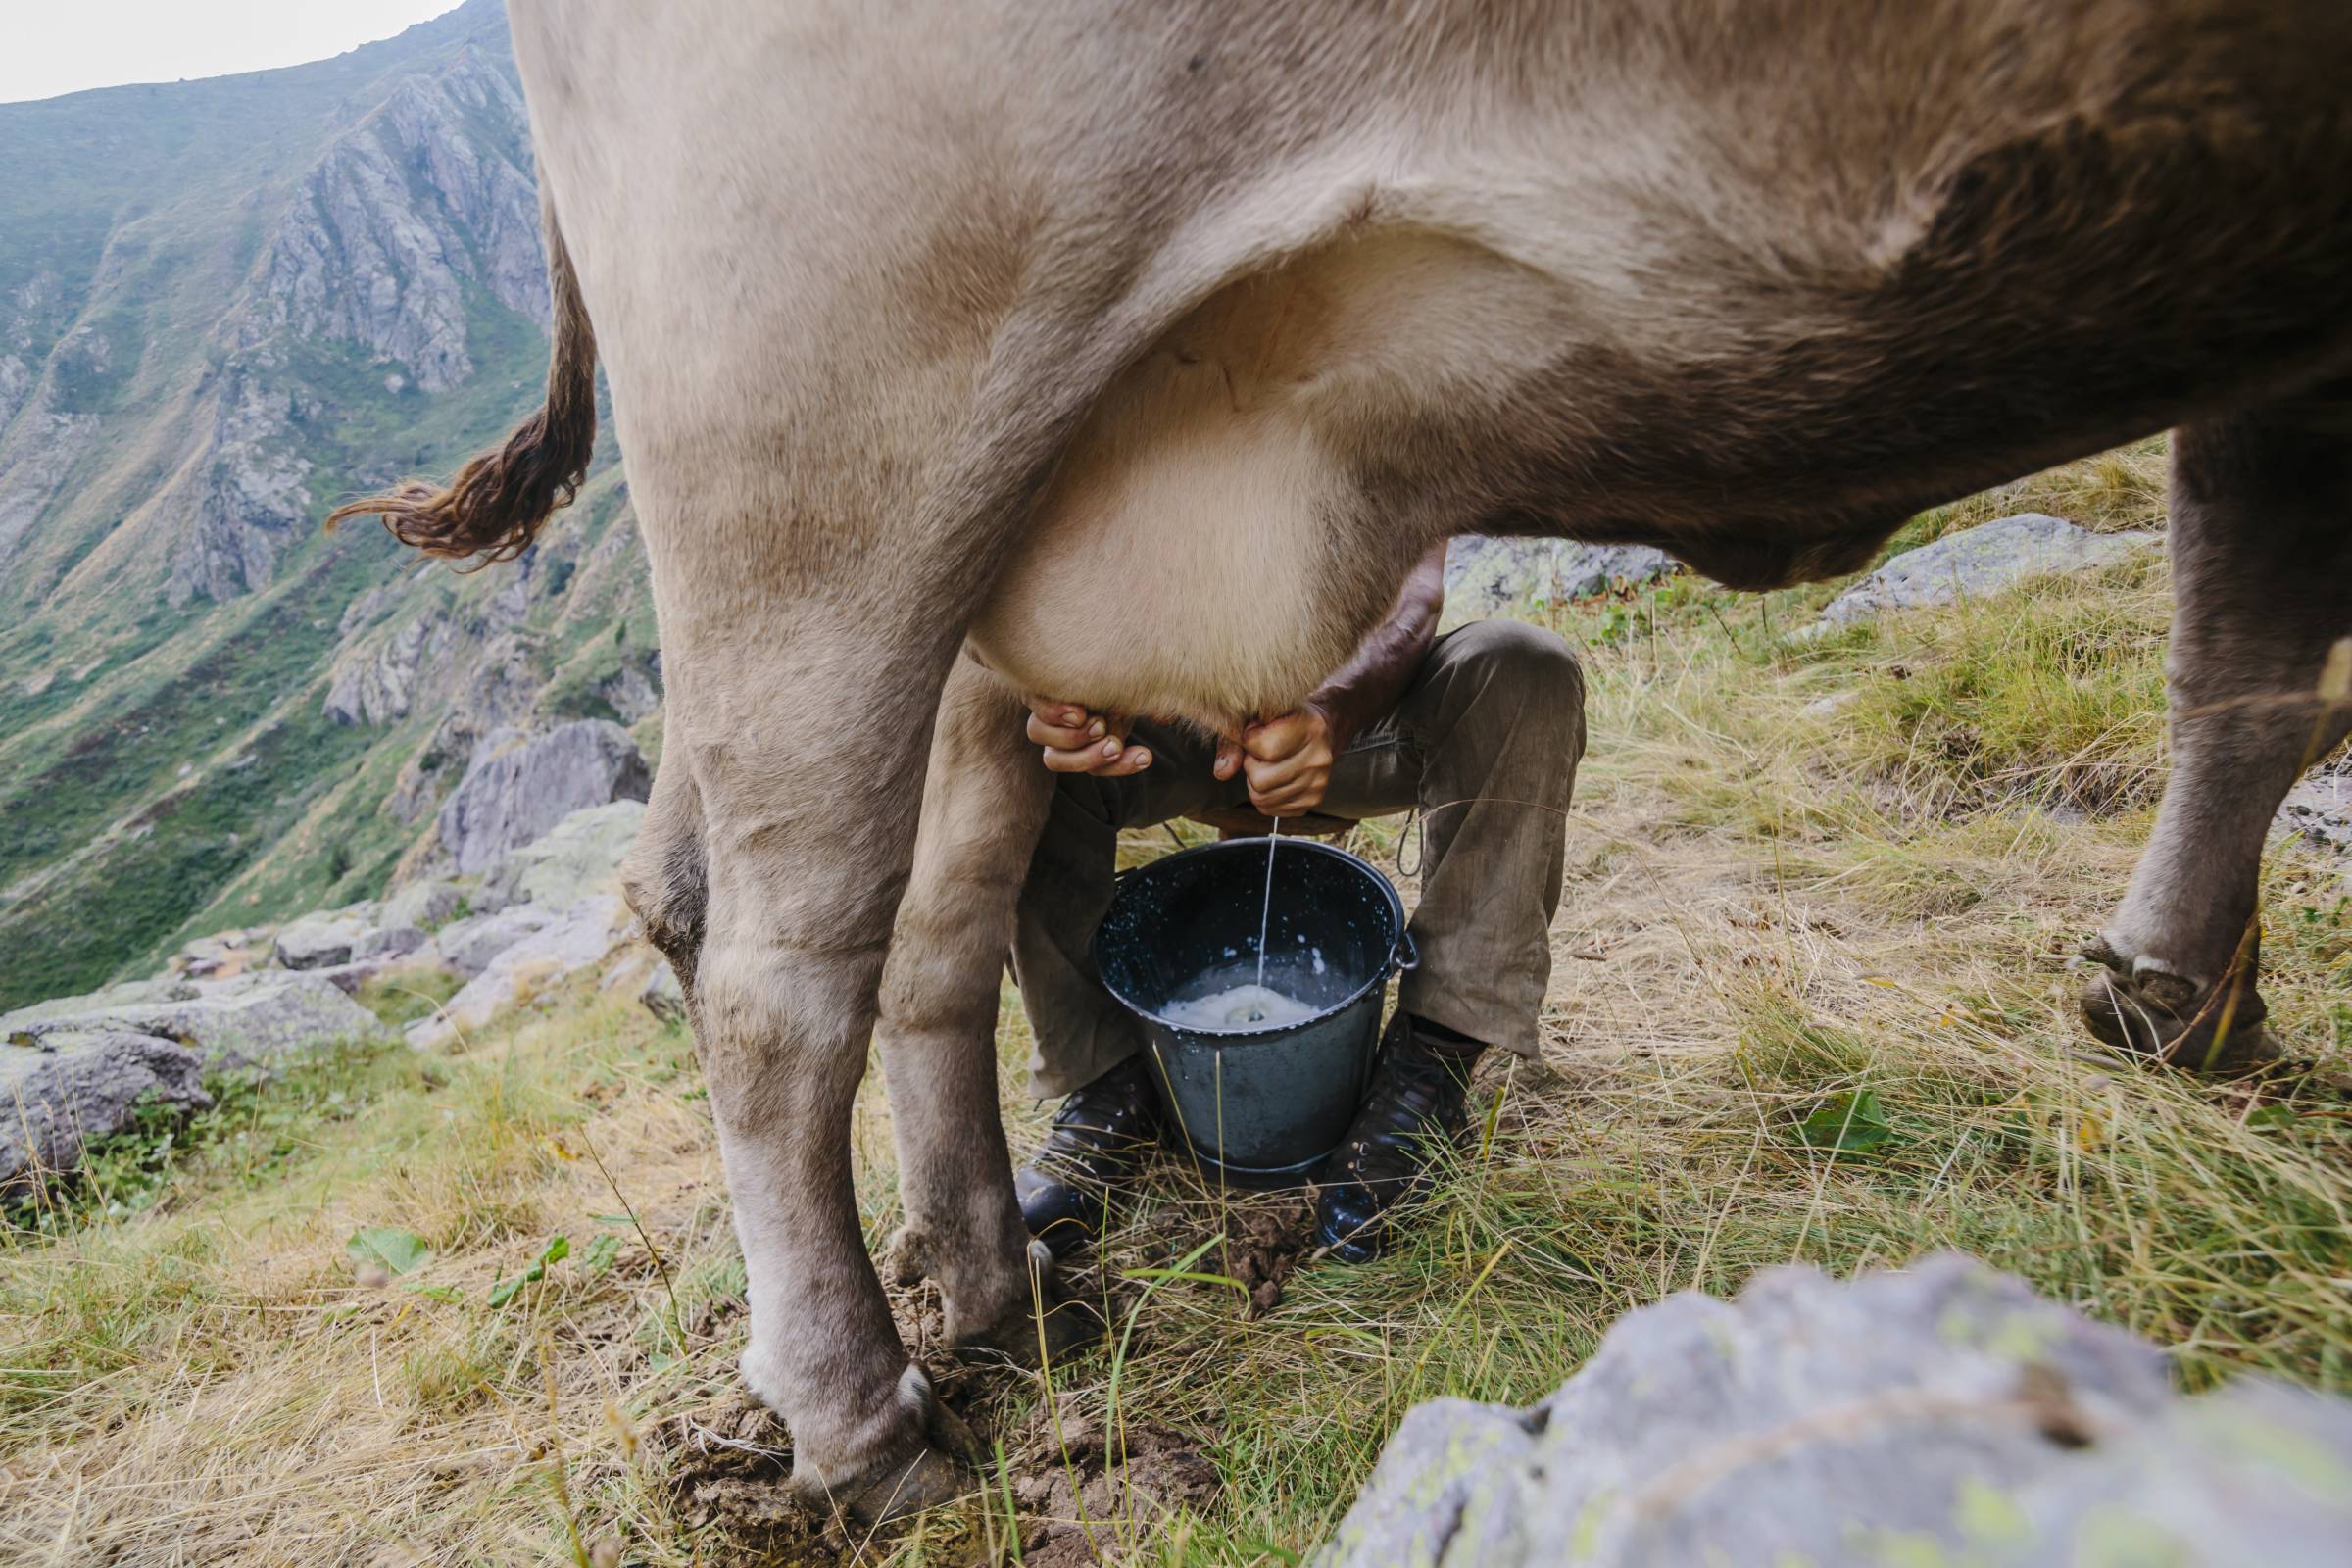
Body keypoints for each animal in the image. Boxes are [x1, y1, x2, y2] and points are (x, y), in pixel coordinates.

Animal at [331, 0, 2352, 1523]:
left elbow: (2238, 636)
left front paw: (2175, 997)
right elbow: (2261, 654)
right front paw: (2186, 1004)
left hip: (953, 561)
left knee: (875, 932)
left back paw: (998, 1289)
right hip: (834, 443)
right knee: (780, 980)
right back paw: (873, 1427)